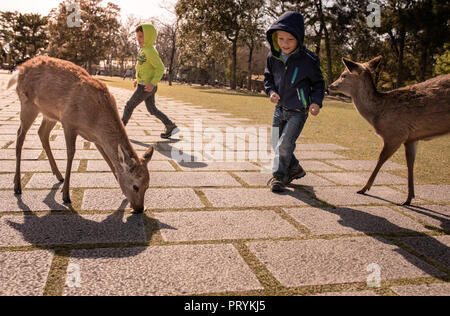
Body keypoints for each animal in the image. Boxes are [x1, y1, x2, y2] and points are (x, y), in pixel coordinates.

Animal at [5, 55, 155, 214]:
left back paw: (58, 175)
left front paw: (122, 193)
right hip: (28, 104)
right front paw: (65, 196)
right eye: (135, 186)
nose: (140, 208)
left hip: (50, 113)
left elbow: (108, 160)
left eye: (147, 186)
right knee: (20, 135)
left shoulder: (96, 138)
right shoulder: (68, 122)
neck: (95, 120)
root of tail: (19, 70)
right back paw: (17, 185)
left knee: (42, 133)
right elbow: (71, 154)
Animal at [326, 56, 450, 205]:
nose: (330, 86)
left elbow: (381, 159)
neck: (378, 115)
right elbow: (410, 163)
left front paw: (363, 188)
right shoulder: (411, 137)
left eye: (343, 75)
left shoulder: (395, 134)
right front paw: (409, 198)